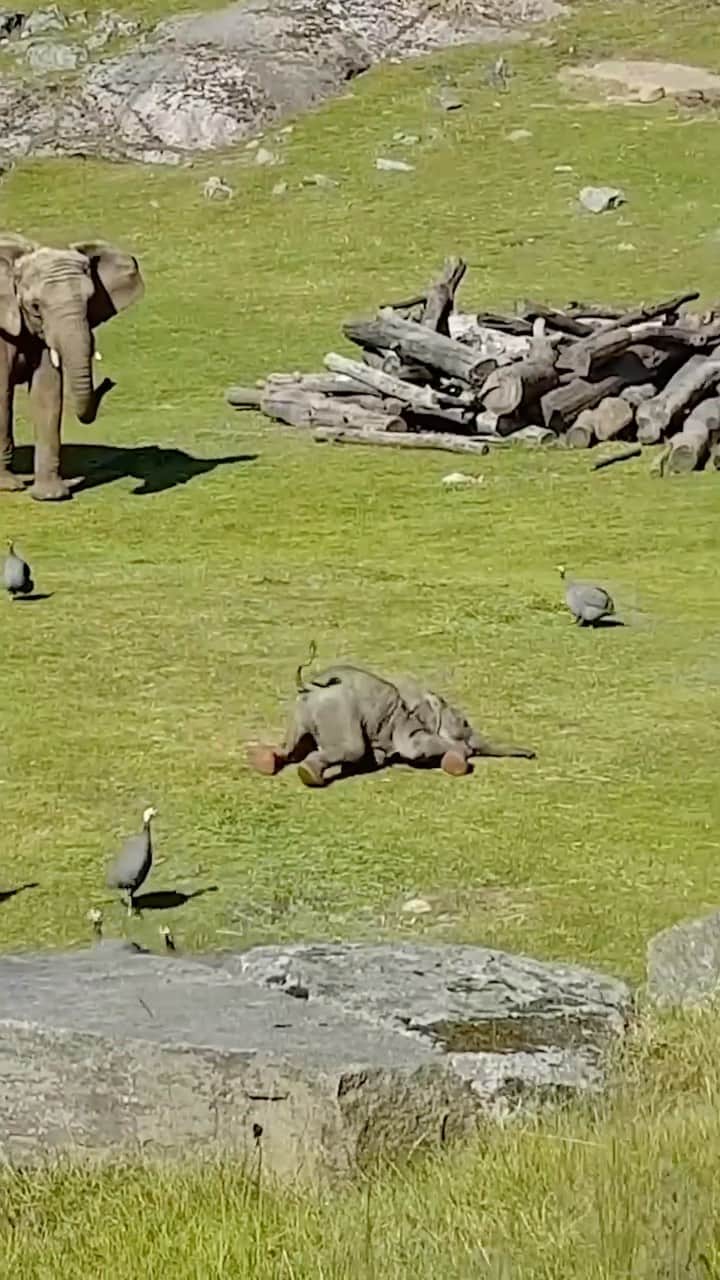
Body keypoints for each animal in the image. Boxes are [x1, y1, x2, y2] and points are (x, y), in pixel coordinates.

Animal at [0, 232, 144, 501]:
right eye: (35, 306)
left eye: (90, 301)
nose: (109, 381)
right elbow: (1, 395)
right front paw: (8, 486)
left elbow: (47, 393)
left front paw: (51, 496)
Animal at [247, 662, 536, 787]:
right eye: (464, 723)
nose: (533, 754)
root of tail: (309, 685)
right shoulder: (407, 723)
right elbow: (417, 748)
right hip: (338, 711)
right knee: (351, 749)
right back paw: (310, 776)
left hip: (299, 714)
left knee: (291, 747)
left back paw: (264, 763)